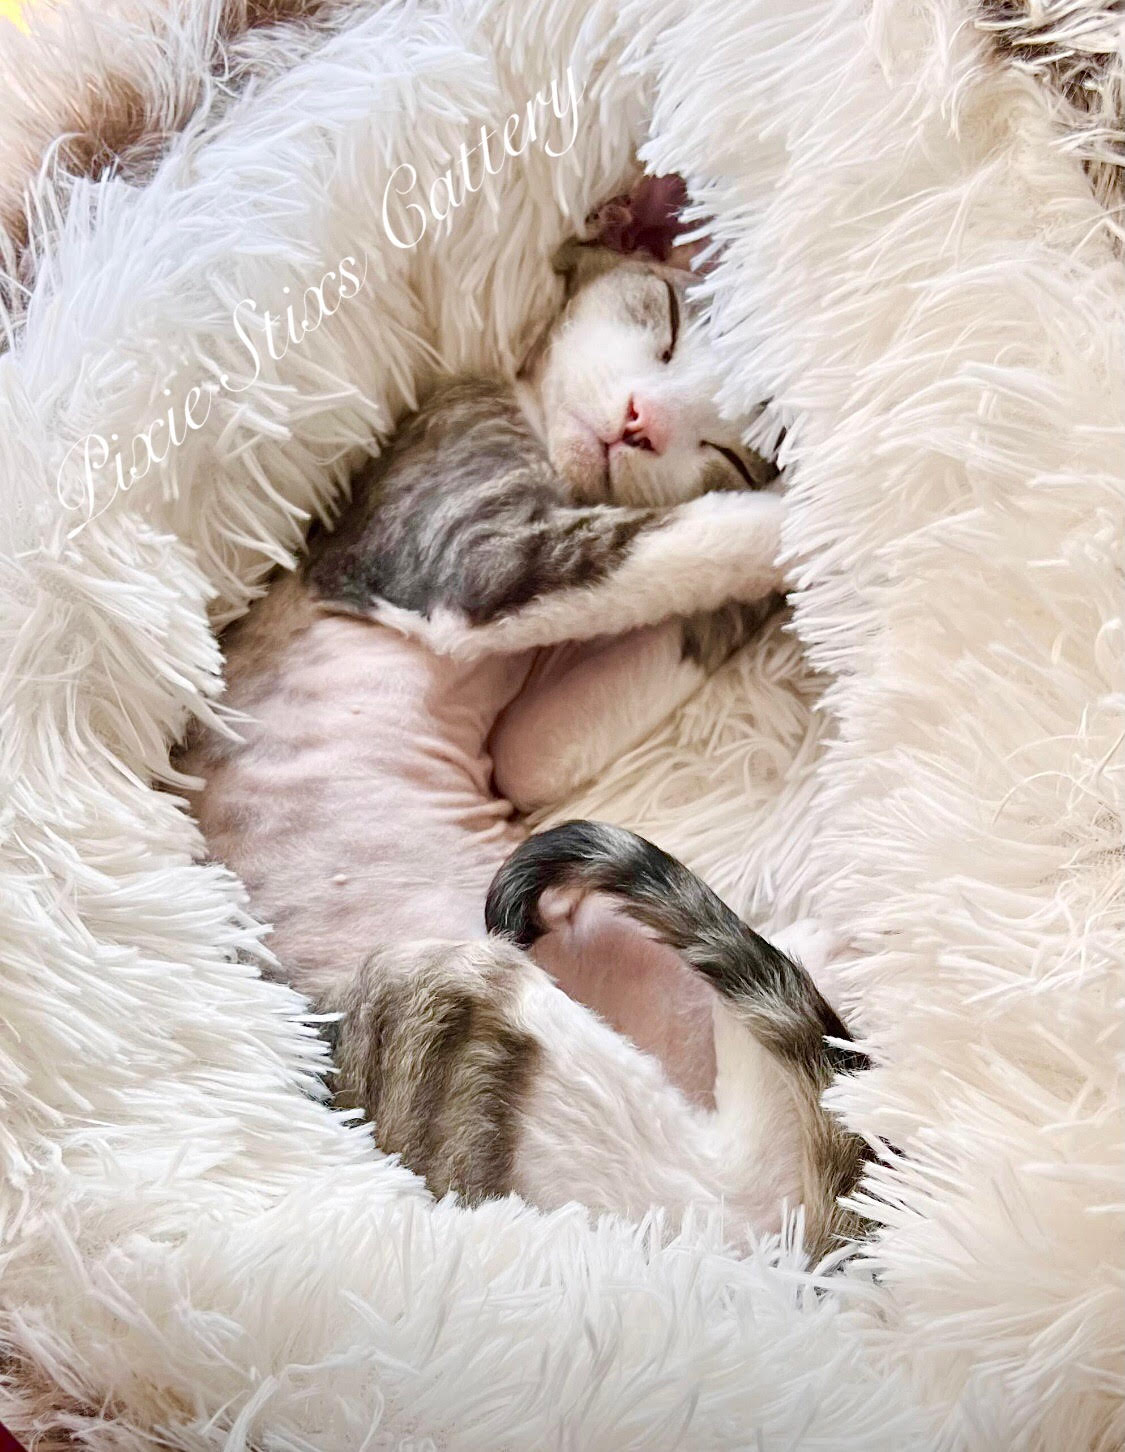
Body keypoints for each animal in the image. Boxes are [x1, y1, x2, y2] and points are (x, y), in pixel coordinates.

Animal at [175, 249, 865, 1260]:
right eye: (664, 323)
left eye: (726, 447)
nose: (642, 423)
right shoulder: (474, 551)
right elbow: (685, 541)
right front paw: (813, 510)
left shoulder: (528, 739)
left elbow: (566, 713)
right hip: (441, 991)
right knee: (744, 1188)